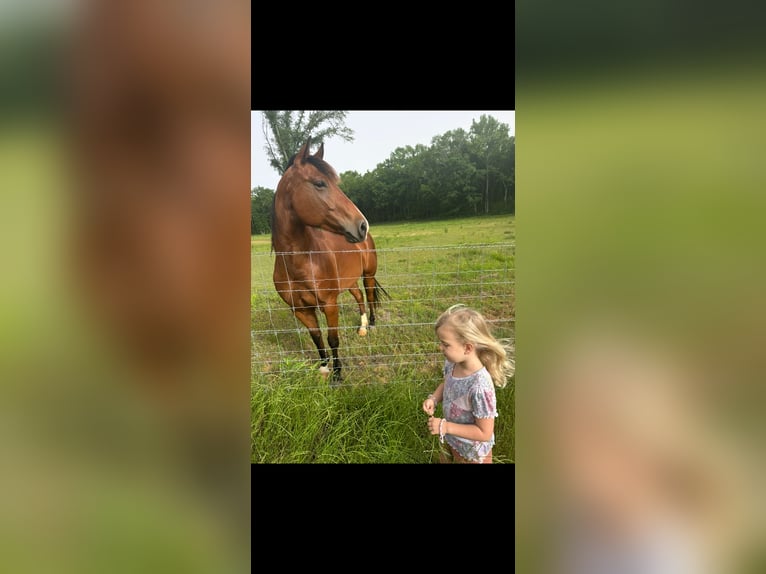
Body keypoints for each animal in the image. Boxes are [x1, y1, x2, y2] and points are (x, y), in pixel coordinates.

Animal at [270, 138, 389, 382]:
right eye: (319, 183)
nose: (362, 225)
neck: (300, 263)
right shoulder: (301, 309)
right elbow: (316, 337)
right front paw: (324, 367)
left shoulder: (329, 304)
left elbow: (333, 338)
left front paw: (337, 374)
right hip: (349, 280)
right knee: (360, 297)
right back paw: (362, 327)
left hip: (368, 274)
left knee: (370, 295)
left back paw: (372, 325)